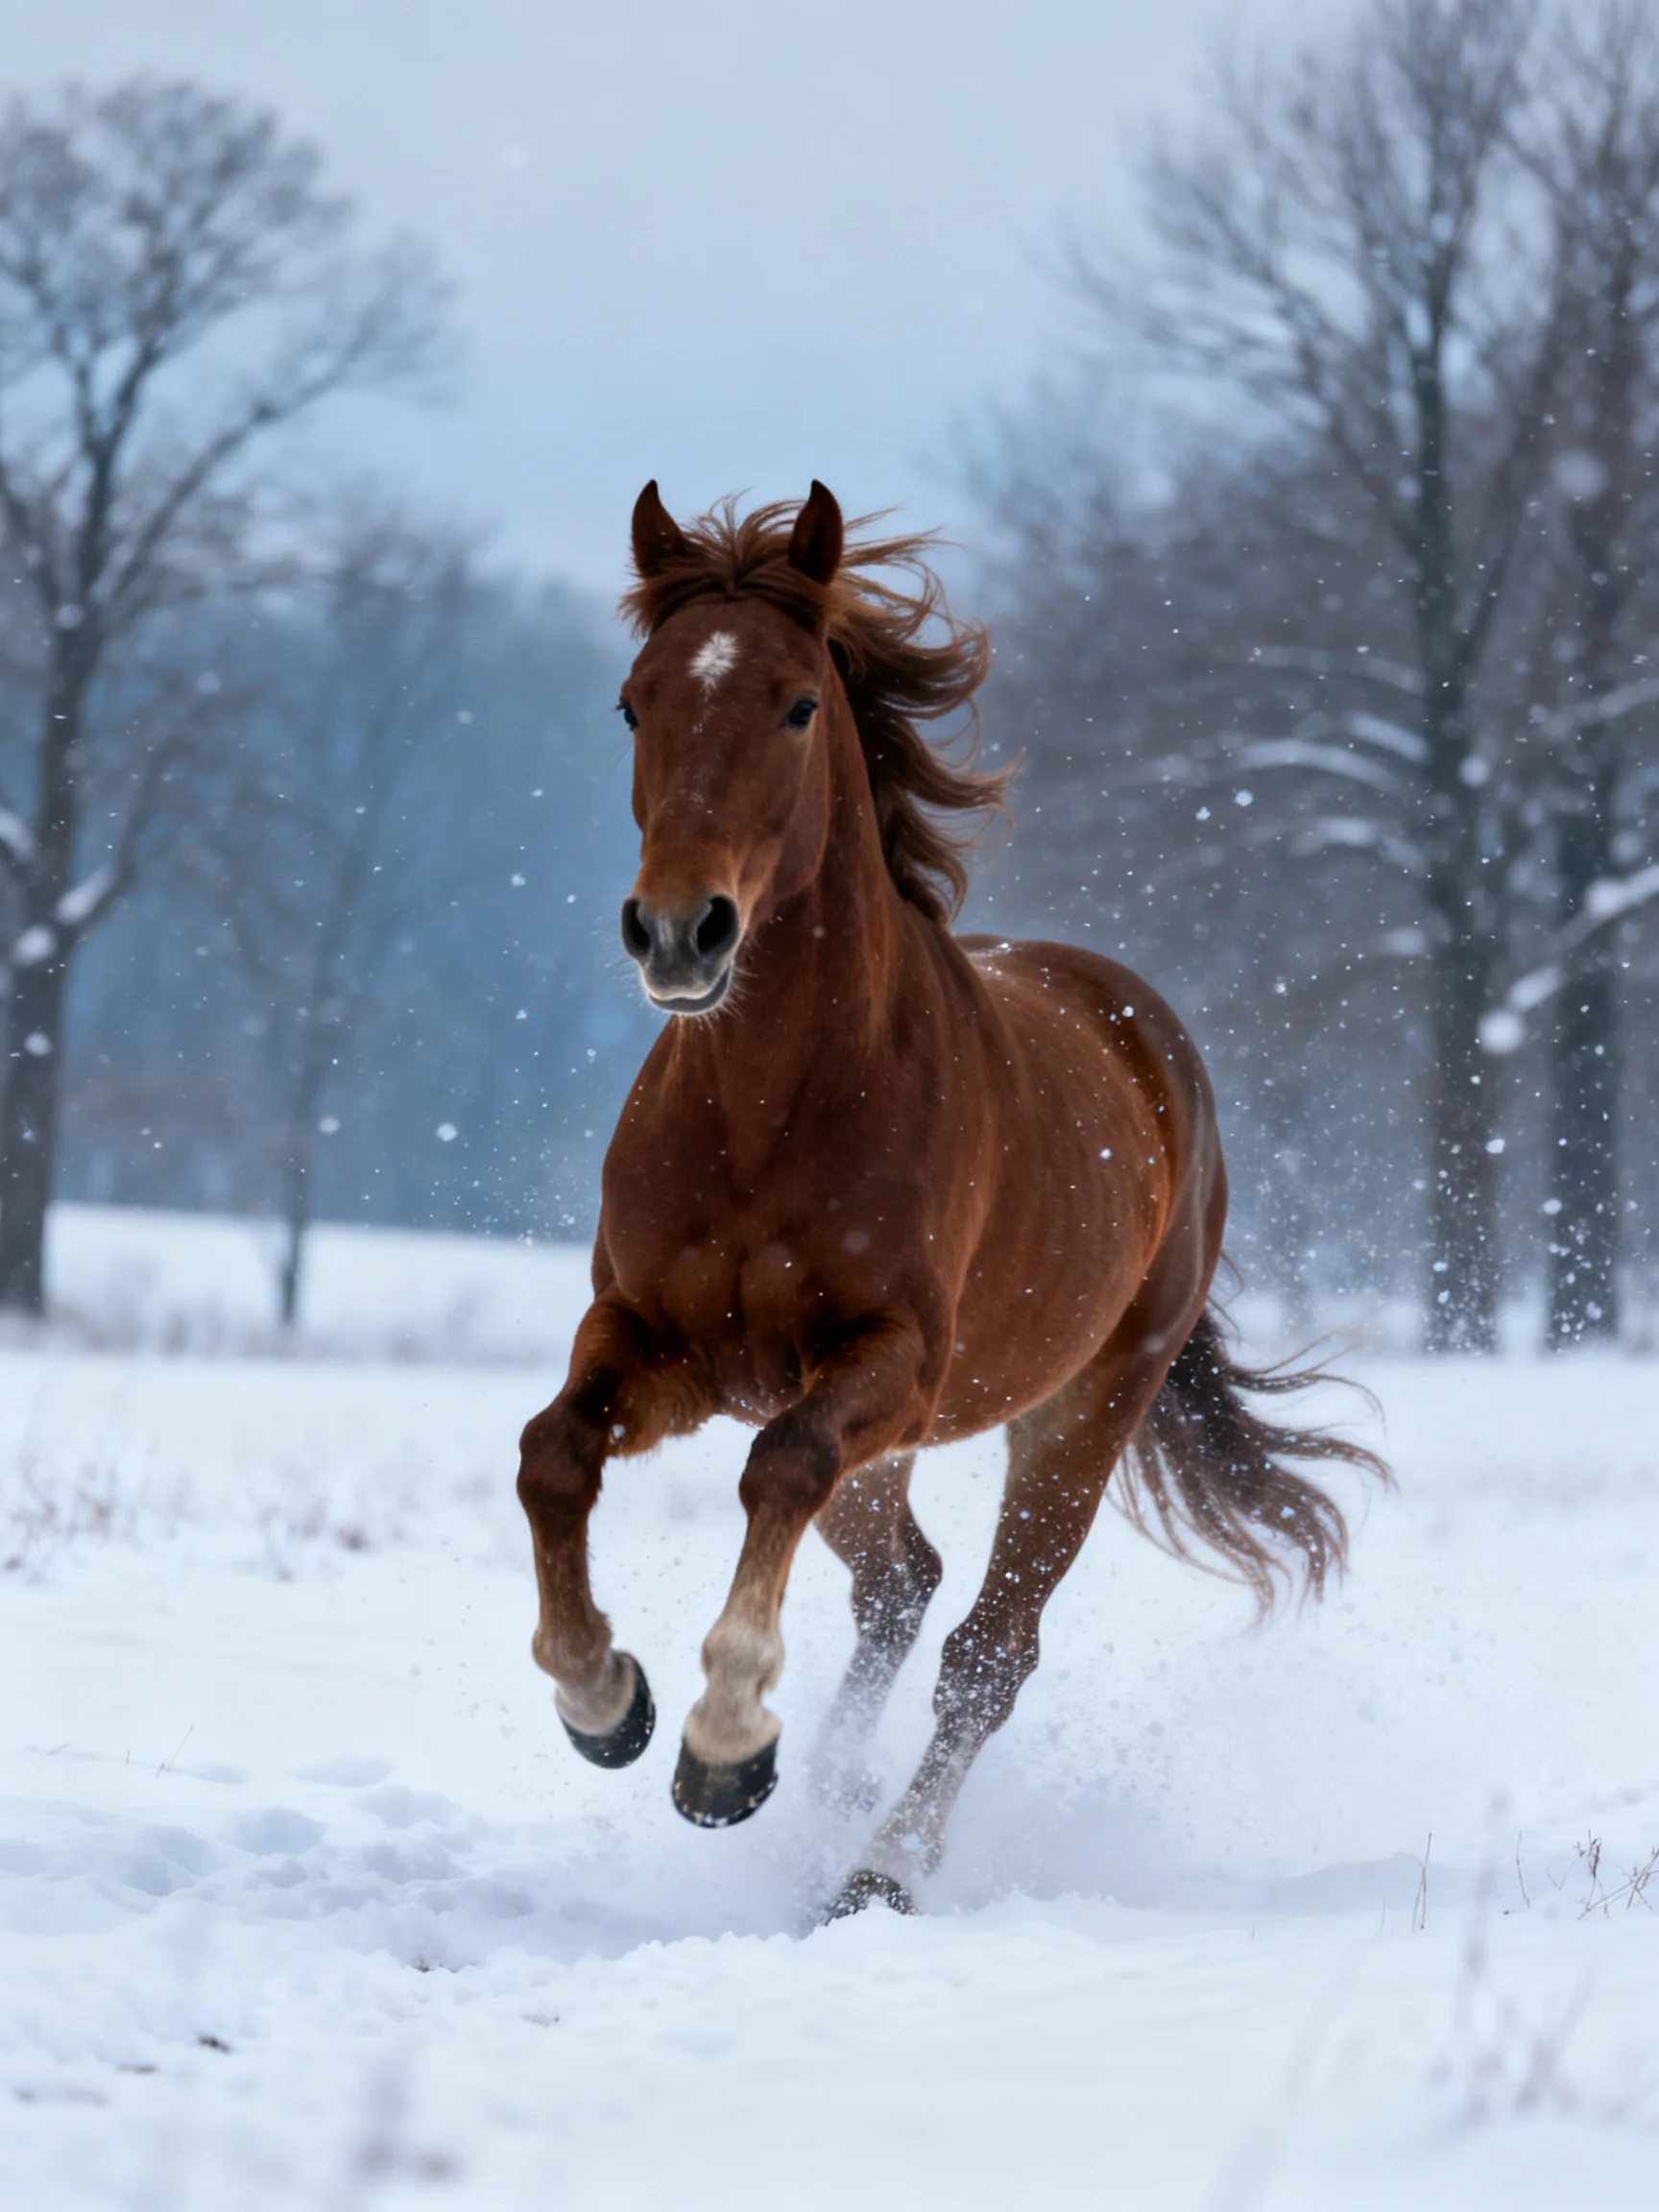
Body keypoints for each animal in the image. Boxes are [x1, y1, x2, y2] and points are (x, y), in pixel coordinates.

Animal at [516, 480, 1386, 1917]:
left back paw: (873, 1866)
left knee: (987, 1648)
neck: (764, 1110)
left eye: (796, 706)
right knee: (901, 1583)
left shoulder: (892, 1365)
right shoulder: (659, 1343)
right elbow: (554, 1456)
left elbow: (779, 1468)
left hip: (1083, 1412)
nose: (679, 933)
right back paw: (827, 1793)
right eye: (636, 704)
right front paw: (606, 1703)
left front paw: (723, 1750)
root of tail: (1154, 1047)